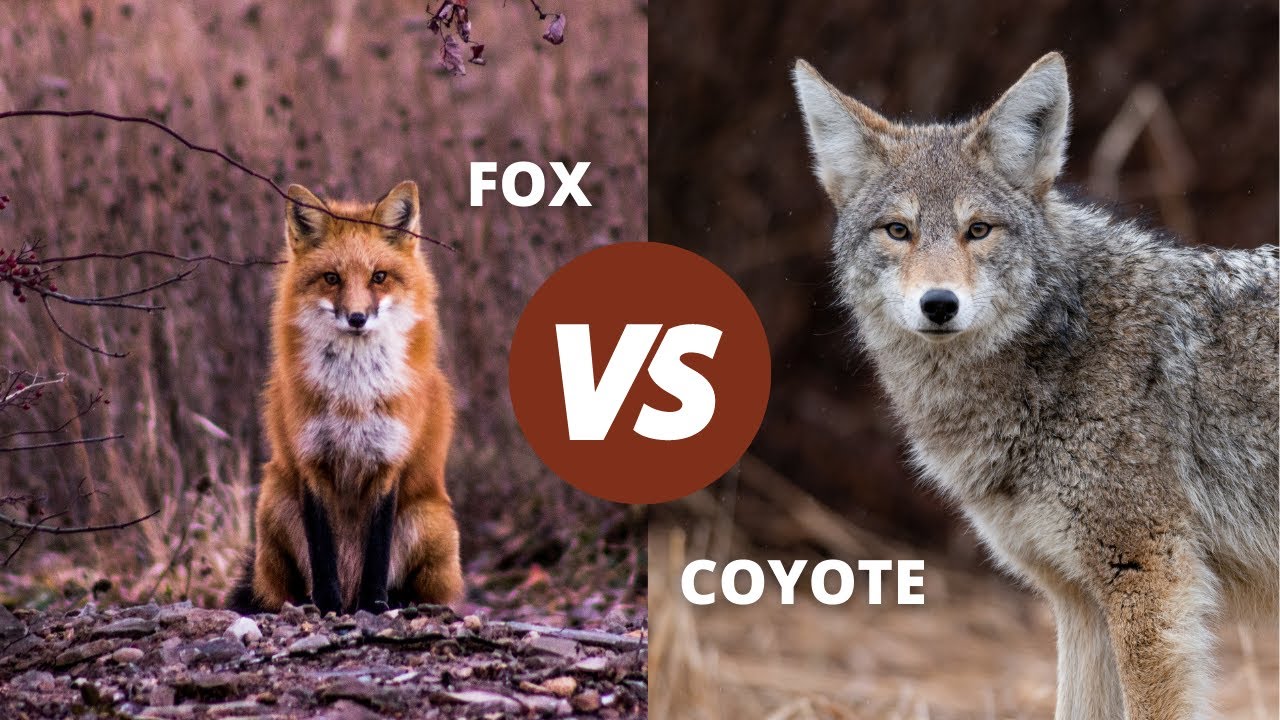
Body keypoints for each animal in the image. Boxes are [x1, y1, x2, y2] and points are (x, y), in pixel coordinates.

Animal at [227, 180, 463, 616]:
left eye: (379, 277)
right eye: (331, 278)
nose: (356, 318)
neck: (353, 395)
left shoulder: (389, 461)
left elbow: (377, 549)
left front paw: (375, 605)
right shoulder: (311, 460)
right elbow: (322, 551)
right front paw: (327, 606)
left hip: (429, 519)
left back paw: (399, 602)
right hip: (273, 502)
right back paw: (307, 603)